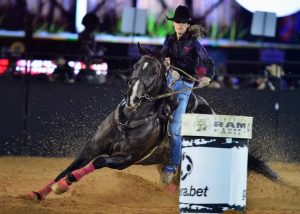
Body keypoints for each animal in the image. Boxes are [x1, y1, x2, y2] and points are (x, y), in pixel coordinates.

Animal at [27, 44, 278, 201]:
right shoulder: (92, 147)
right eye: (135, 66)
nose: (133, 98)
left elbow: (96, 164)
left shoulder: (125, 160)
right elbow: (69, 167)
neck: (129, 121)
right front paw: (39, 193)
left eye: (155, 72)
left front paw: (64, 186)